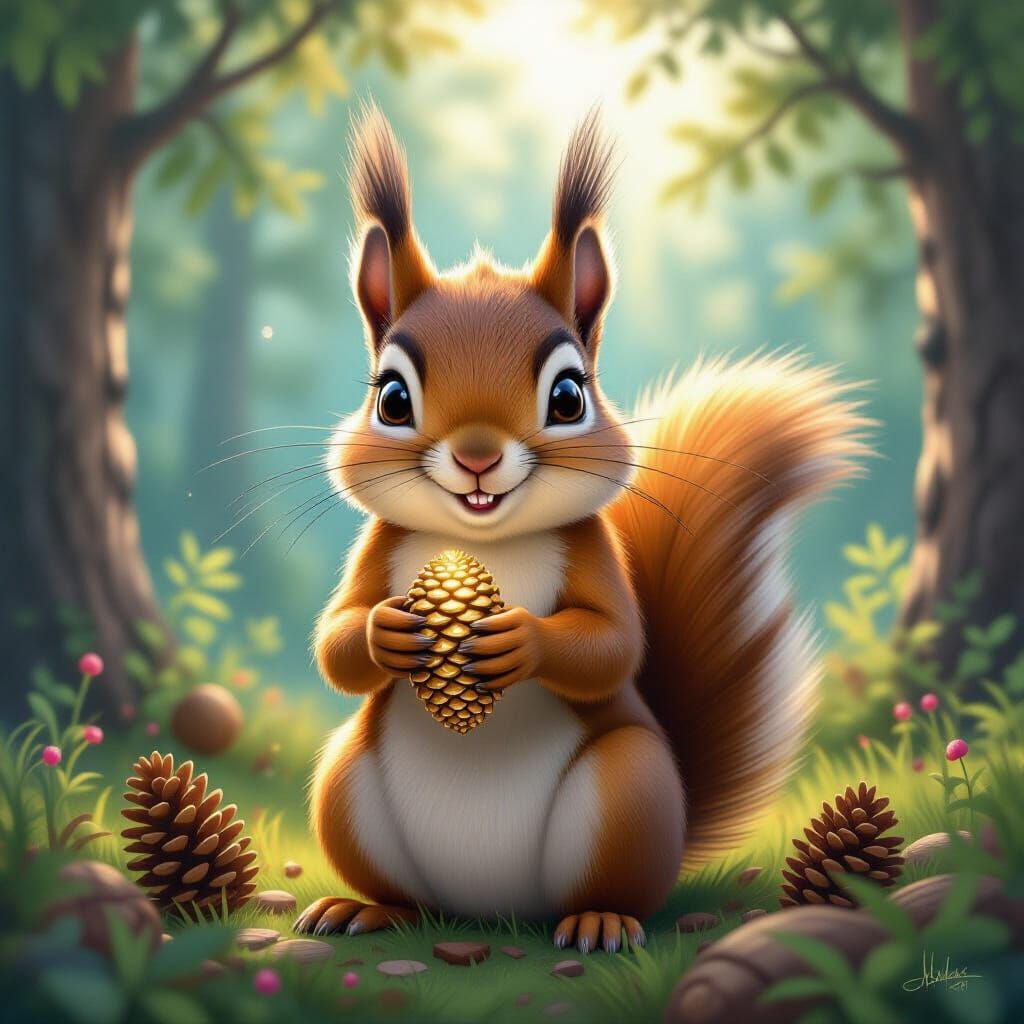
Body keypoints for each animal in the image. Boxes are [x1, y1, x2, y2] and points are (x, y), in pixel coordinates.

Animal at [295, 105, 869, 953]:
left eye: (569, 396)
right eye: (391, 399)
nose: (476, 457)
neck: (484, 543)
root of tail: (490, 908)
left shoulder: (594, 551)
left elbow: (613, 644)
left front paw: (522, 641)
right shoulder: (377, 546)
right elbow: (336, 637)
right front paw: (383, 632)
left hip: (626, 788)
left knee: (610, 886)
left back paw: (600, 920)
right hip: (343, 779)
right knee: (402, 890)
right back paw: (367, 909)